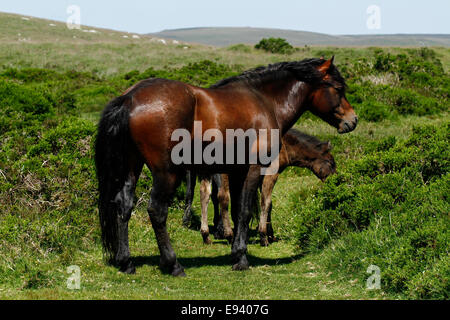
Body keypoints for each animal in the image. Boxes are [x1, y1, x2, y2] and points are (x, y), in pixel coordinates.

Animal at [185, 129, 336, 246]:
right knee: (222, 197)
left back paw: (206, 235)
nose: (335, 181)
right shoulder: (270, 173)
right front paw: (264, 236)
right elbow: (266, 202)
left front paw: (268, 233)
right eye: (331, 162)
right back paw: (228, 235)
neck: (284, 145)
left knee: (204, 195)